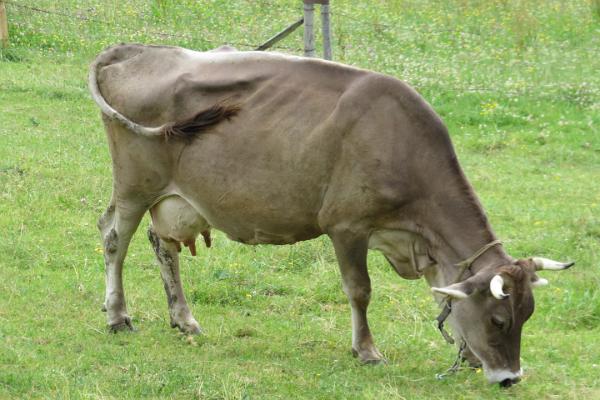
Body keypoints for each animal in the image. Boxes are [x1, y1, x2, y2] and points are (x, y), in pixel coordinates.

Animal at [89, 44, 573, 387]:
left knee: (162, 244)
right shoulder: (347, 226)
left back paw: (184, 319)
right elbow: (360, 291)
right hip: (134, 184)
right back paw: (117, 317)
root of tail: (137, 48)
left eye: (527, 316)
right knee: (114, 236)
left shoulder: (428, 245)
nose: (510, 378)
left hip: (175, 199)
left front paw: (466, 353)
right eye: (499, 320)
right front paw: (367, 351)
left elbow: (445, 296)